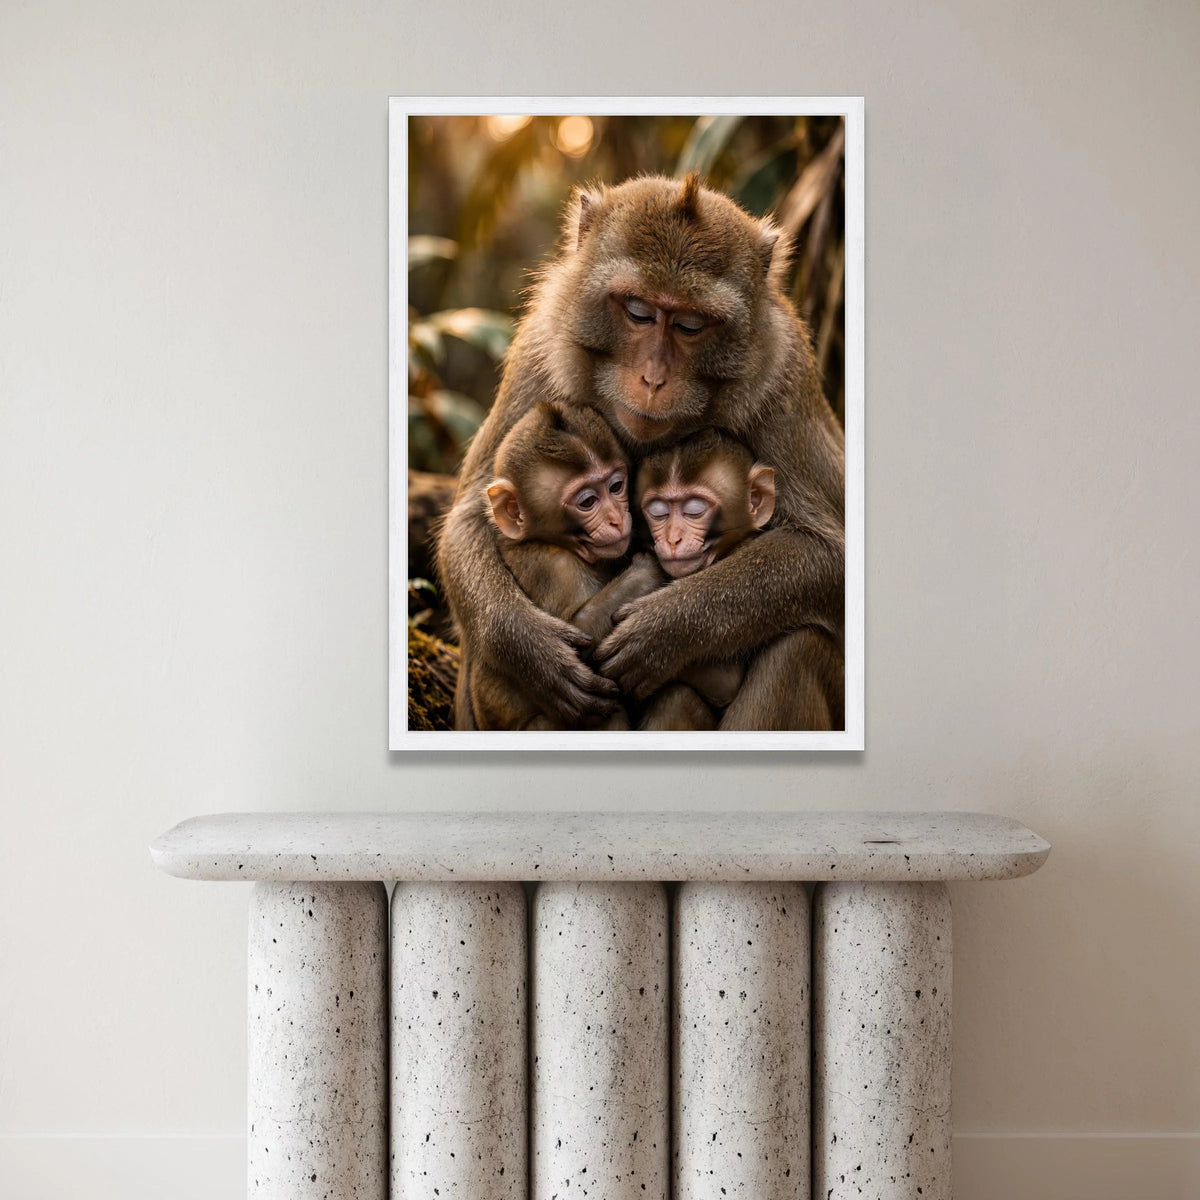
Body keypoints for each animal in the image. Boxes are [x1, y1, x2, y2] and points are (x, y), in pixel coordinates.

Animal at [467, 400, 654, 730]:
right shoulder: (555, 567)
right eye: (588, 501)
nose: (617, 520)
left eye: (616, 486)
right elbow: (581, 639)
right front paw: (646, 571)